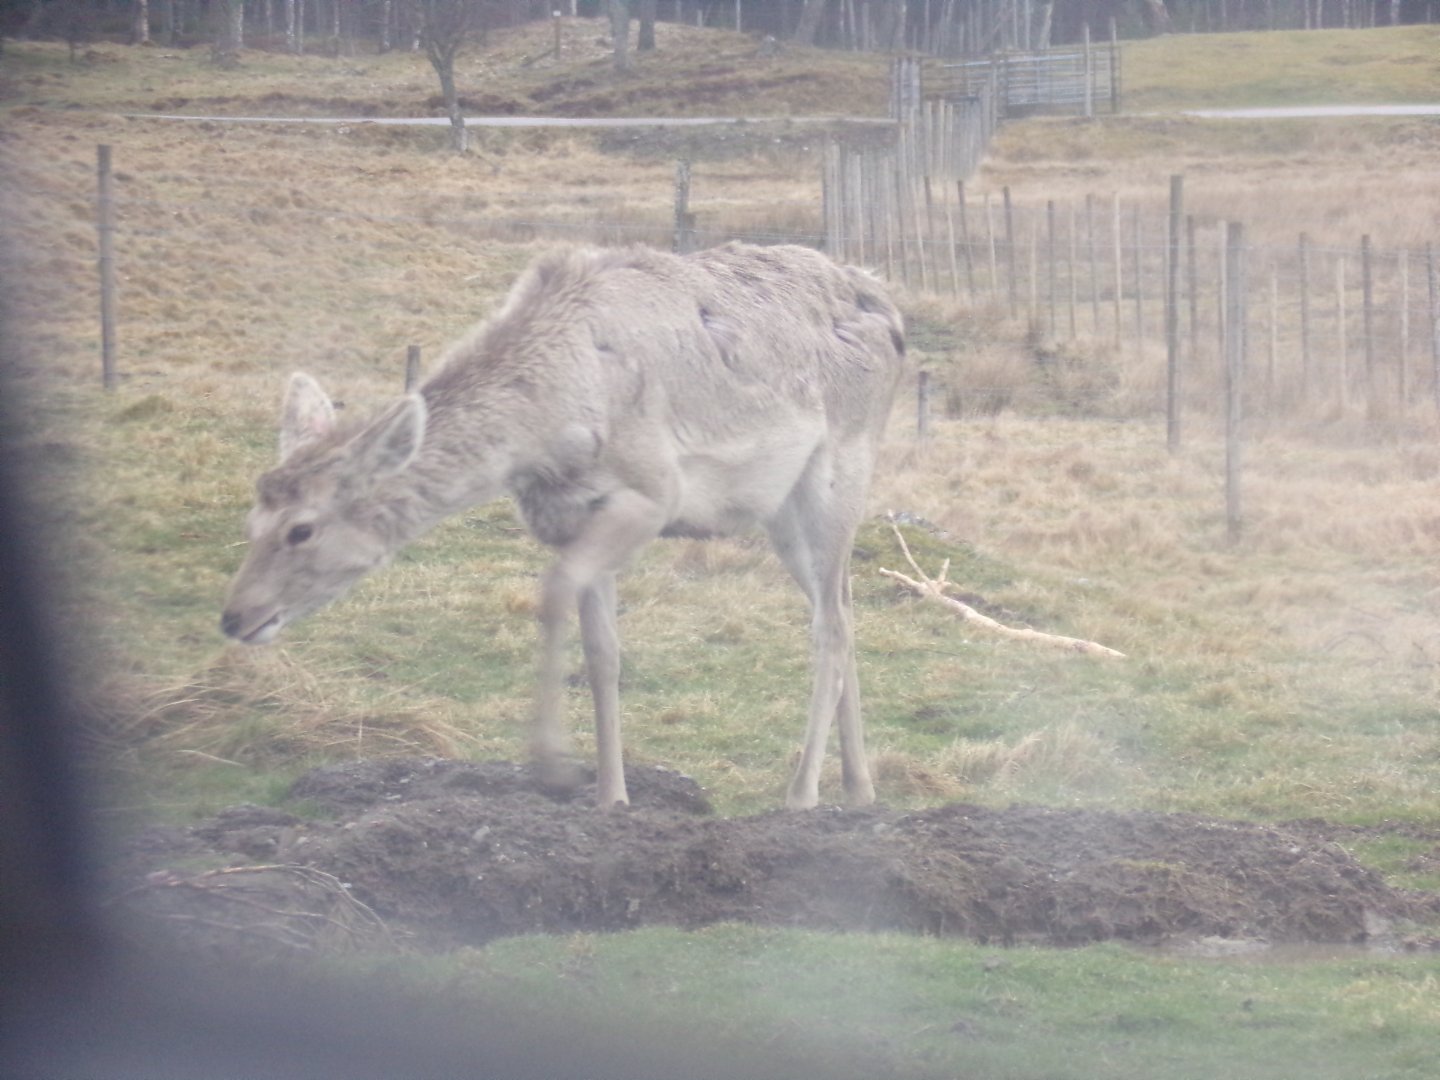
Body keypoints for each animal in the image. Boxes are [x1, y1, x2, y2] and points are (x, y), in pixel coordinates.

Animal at [220, 242, 906, 810]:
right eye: (252, 516)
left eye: (301, 529)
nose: (234, 616)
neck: (546, 433)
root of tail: (891, 311)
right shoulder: (570, 516)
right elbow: (603, 654)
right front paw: (610, 796)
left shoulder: (651, 494)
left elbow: (551, 593)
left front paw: (551, 764)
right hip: (782, 511)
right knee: (843, 605)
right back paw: (860, 786)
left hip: (840, 470)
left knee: (831, 626)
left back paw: (803, 794)